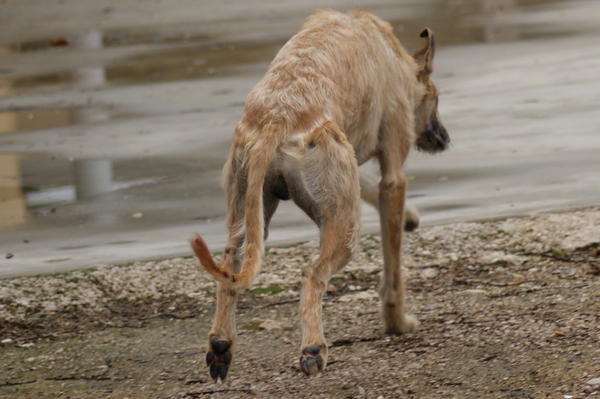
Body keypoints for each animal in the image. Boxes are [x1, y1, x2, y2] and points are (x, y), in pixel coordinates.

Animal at [190, 8, 448, 382]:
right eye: (437, 98)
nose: (444, 138)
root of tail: (275, 121)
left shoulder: (352, 159)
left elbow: (367, 184)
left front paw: (410, 217)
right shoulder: (393, 177)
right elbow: (393, 265)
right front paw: (397, 321)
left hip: (248, 213)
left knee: (229, 266)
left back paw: (221, 344)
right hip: (343, 225)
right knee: (313, 275)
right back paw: (313, 348)